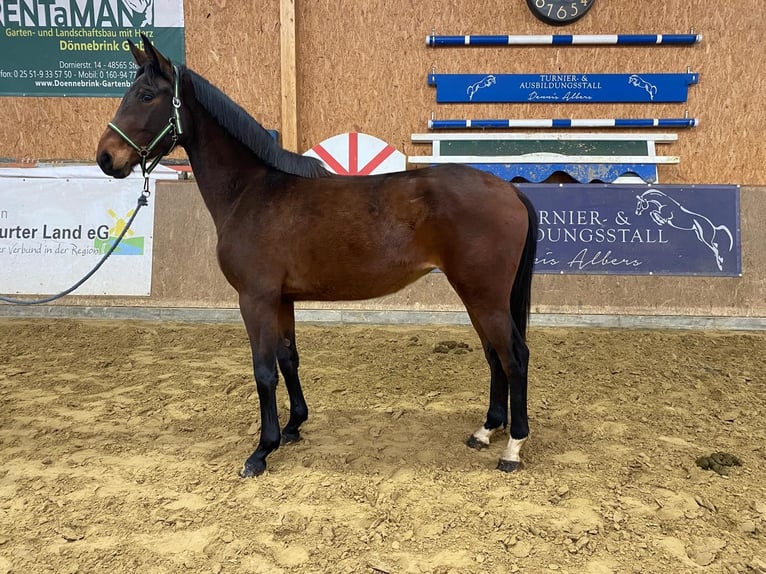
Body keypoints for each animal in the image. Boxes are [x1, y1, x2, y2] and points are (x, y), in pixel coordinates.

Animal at [96, 35, 538, 478]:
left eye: (146, 95)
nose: (106, 157)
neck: (252, 192)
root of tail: (509, 189)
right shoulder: (281, 300)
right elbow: (288, 359)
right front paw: (293, 426)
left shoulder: (254, 299)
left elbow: (263, 371)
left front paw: (262, 450)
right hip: (478, 297)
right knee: (494, 355)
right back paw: (486, 430)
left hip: (483, 295)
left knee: (514, 356)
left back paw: (513, 447)